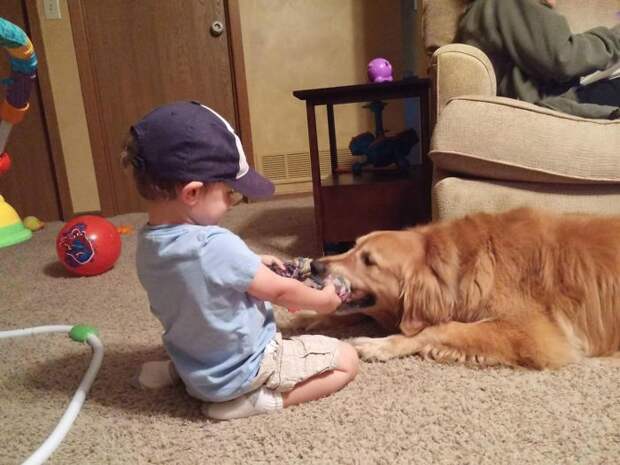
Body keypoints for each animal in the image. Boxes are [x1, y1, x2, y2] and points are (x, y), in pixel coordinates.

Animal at [312, 208, 620, 368]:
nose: (314, 265)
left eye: (369, 260)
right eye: (353, 246)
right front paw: (309, 317)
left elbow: (441, 328)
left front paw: (379, 344)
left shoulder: (537, 334)